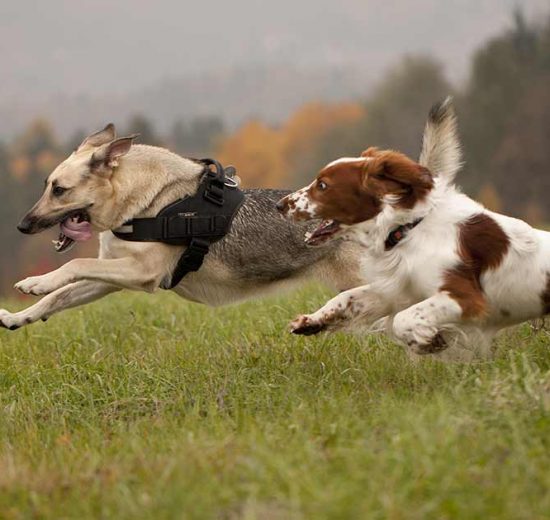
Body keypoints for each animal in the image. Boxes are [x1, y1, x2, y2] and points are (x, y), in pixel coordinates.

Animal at [1, 123, 366, 330]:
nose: (22, 226)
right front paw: (19, 317)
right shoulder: (113, 277)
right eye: (46, 185)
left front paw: (37, 282)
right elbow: (61, 296)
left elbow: (75, 264)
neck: (145, 202)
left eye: (59, 190)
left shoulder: (142, 272)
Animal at [278, 97, 550, 360]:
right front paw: (311, 321)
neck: (407, 230)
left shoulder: (466, 297)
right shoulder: (398, 289)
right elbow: (347, 297)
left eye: (323, 185)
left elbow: (403, 318)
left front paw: (429, 341)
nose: (280, 205)